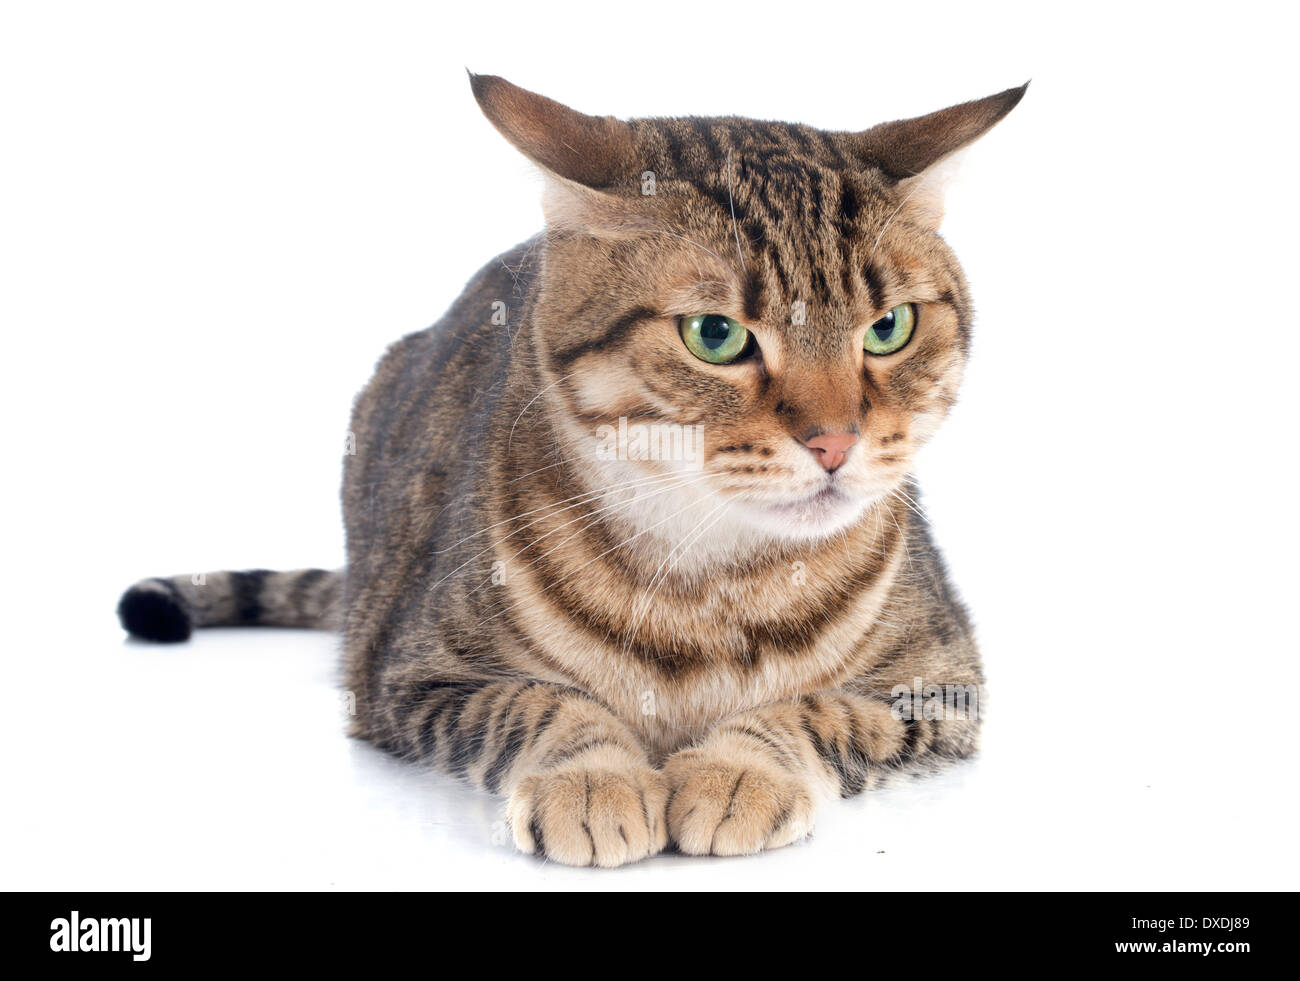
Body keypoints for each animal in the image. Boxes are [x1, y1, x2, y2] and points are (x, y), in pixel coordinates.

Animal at [116, 74, 1019, 867]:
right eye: (716, 335)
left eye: (889, 327)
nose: (835, 442)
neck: (710, 588)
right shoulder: (412, 675)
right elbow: (534, 702)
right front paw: (593, 779)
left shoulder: (941, 680)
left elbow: (818, 712)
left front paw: (736, 770)